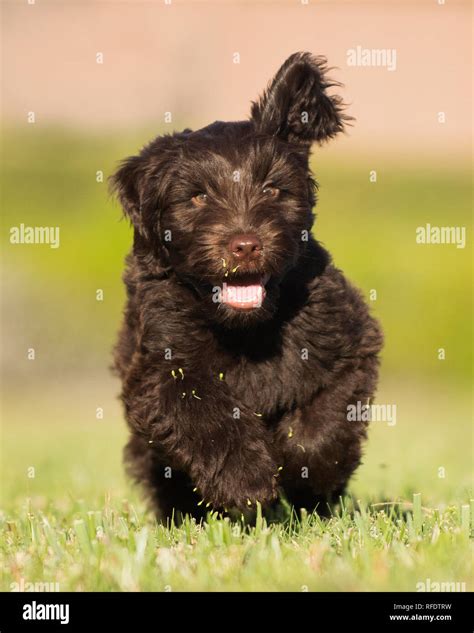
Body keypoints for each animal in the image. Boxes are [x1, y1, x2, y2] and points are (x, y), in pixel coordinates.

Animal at [113, 53, 384, 520]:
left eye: (273, 189)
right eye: (198, 197)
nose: (245, 245)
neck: (248, 330)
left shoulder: (350, 346)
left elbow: (324, 423)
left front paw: (303, 472)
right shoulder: (160, 368)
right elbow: (202, 414)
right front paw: (246, 482)